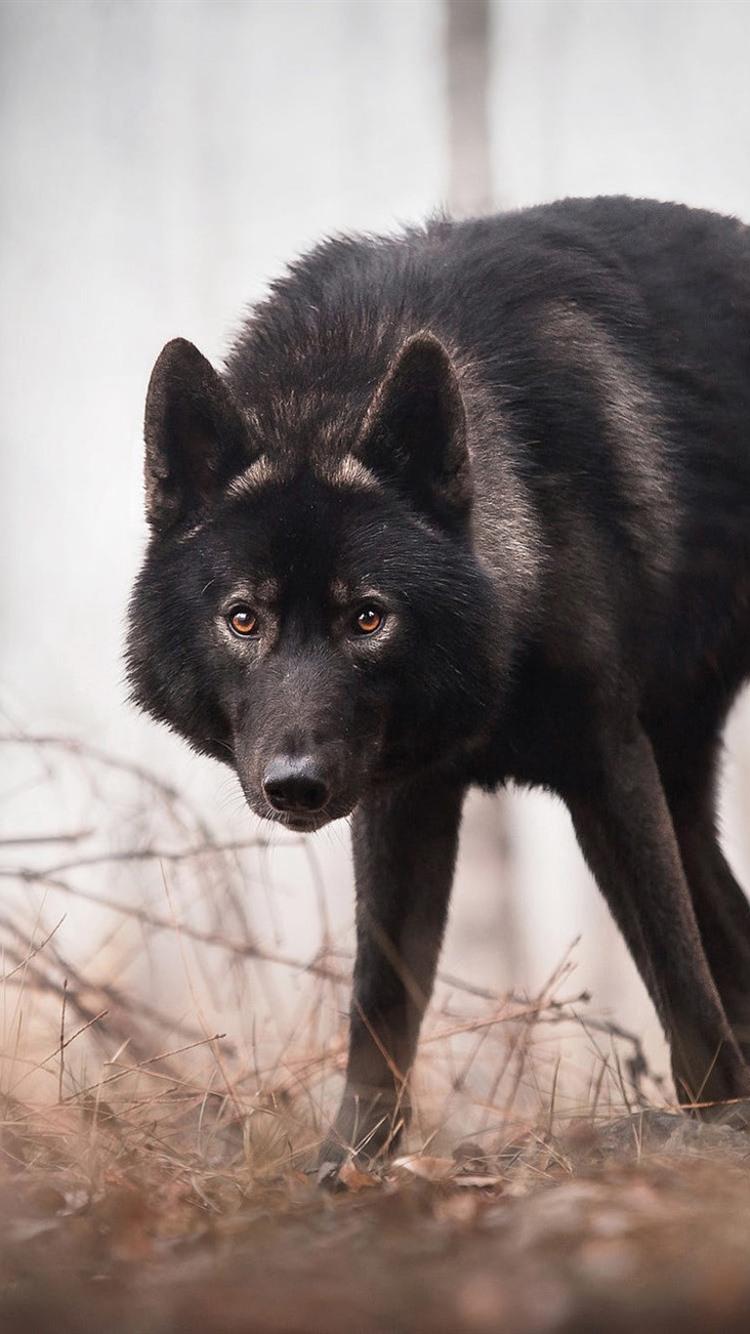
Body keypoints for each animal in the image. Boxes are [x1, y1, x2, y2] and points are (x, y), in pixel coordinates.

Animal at [127, 195, 750, 1176]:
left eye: (367, 618)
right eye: (244, 619)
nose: (294, 786)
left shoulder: (607, 762)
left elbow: (677, 974)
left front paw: (711, 1131)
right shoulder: (402, 797)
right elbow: (382, 998)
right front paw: (352, 1165)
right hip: (682, 786)